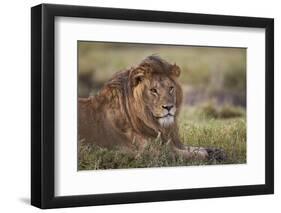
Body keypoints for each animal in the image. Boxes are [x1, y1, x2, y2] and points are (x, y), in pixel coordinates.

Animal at [77, 55, 224, 161]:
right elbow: (192, 154)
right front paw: (207, 154)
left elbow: (193, 148)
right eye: (153, 90)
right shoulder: (152, 151)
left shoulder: (170, 141)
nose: (169, 107)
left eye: (171, 88)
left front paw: (217, 151)